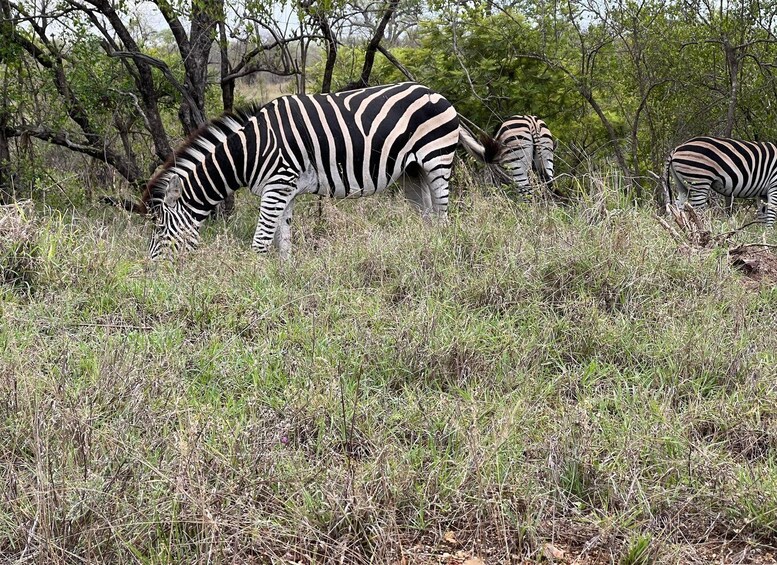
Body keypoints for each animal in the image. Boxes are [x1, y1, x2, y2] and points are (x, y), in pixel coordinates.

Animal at [138, 82, 498, 258]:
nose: (153, 269)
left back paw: (442, 254)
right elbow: (283, 240)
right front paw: (283, 278)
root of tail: (439, 95)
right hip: (413, 171)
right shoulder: (284, 189)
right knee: (428, 218)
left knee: (443, 215)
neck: (249, 152)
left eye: (160, 230)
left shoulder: (278, 185)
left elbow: (260, 242)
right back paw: (425, 253)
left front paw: (255, 281)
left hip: (437, 158)